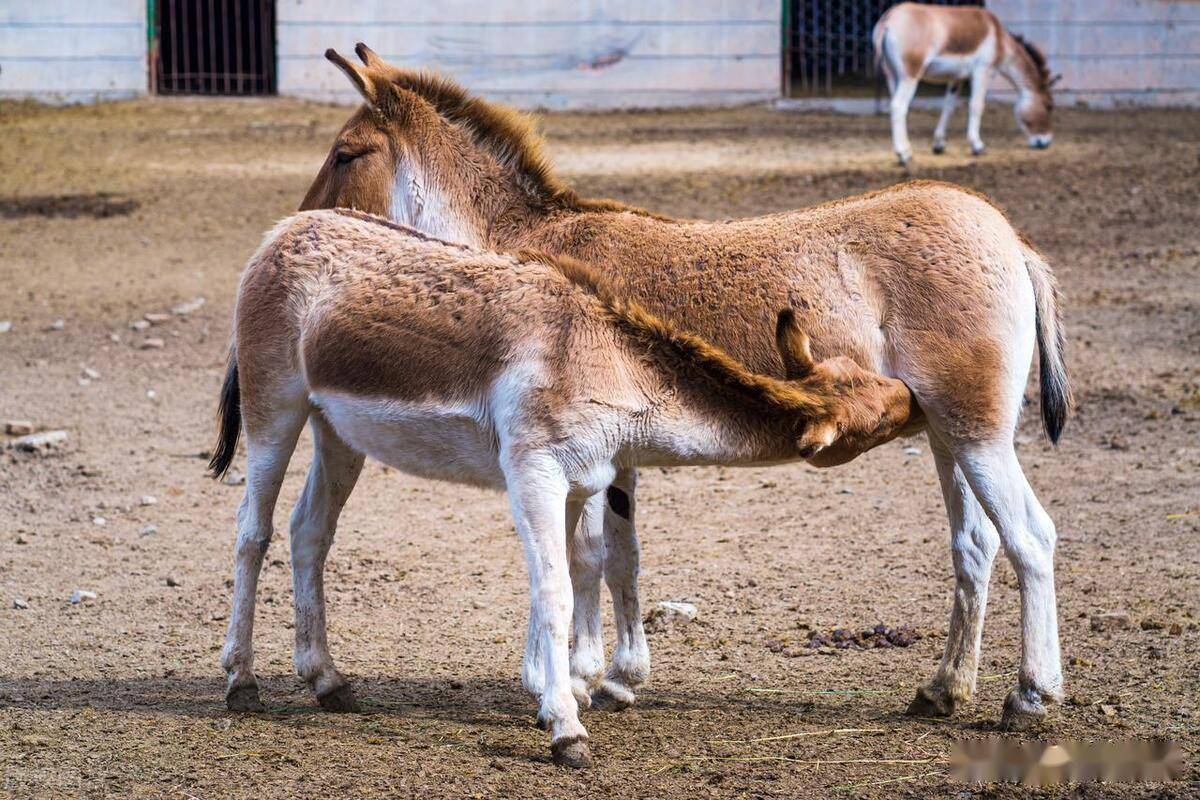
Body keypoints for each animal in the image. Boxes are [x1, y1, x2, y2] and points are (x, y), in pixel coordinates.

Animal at [211, 209, 916, 767]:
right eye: (873, 420)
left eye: (867, 379)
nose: (913, 397)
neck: (603, 358)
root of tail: (281, 232)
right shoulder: (535, 473)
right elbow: (551, 591)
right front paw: (567, 730)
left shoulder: (582, 482)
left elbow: (586, 569)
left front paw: (567, 693)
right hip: (275, 410)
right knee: (252, 532)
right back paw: (242, 682)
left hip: (338, 433)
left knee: (310, 533)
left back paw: (327, 682)